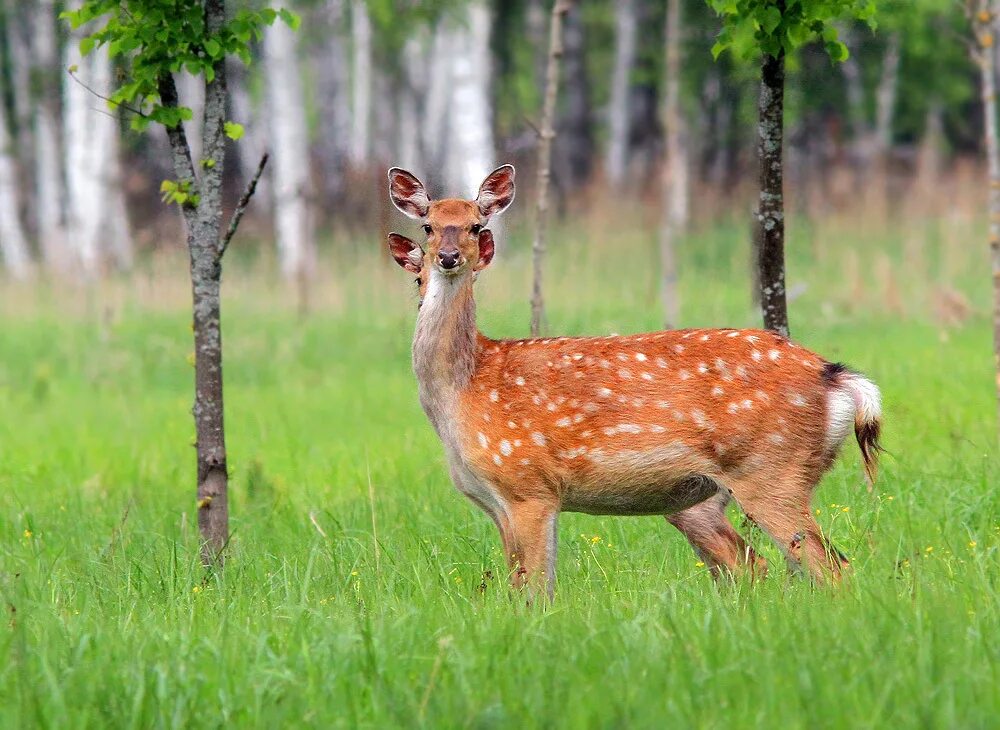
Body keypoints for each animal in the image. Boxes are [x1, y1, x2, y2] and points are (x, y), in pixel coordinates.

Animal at [386, 164, 880, 596]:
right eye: (428, 226)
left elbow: (537, 591)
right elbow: (518, 587)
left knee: (831, 568)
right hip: (714, 495)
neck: (464, 390)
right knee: (764, 565)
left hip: (771, 469)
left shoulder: (530, 485)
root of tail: (839, 380)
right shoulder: (494, 502)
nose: (448, 258)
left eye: (475, 224)